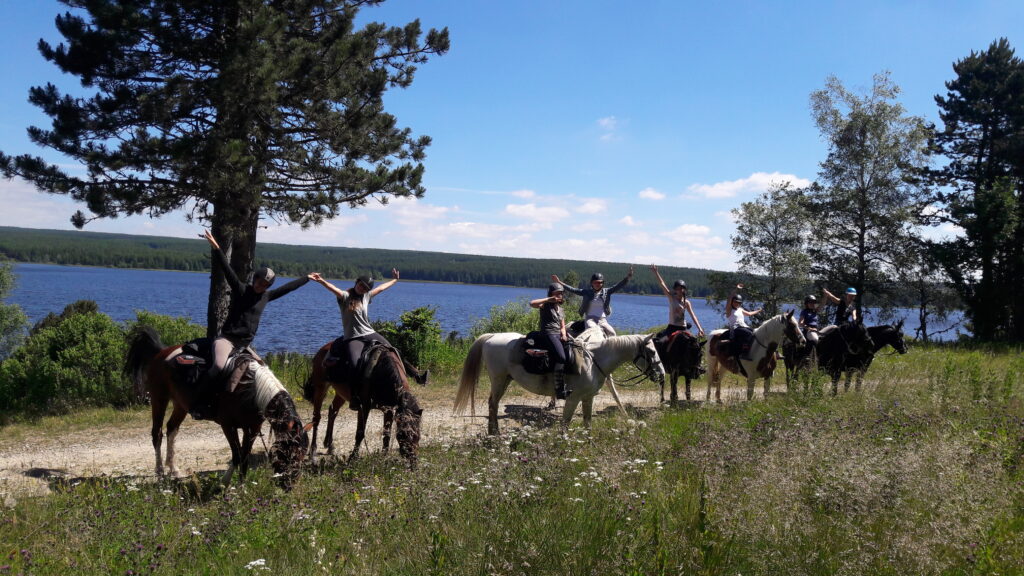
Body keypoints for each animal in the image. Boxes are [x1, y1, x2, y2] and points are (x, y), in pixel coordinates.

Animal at [125, 325, 307, 485]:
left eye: (302, 453)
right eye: (291, 451)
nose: (290, 484)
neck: (250, 390)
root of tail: (161, 352)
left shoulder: (252, 429)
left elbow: (244, 457)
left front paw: (241, 487)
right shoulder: (228, 426)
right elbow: (236, 455)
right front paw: (225, 483)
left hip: (180, 405)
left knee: (171, 429)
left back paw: (174, 469)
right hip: (159, 399)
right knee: (157, 433)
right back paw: (160, 472)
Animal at [454, 330, 663, 432]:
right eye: (651, 352)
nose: (661, 374)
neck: (593, 361)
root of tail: (491, 337)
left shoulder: (588, 398)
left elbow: (587, 423)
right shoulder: (573, 398)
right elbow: (565, 424)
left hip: (505, 379)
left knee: (494, 404)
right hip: (498, 379)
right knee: (493, 404)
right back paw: (494, 432)